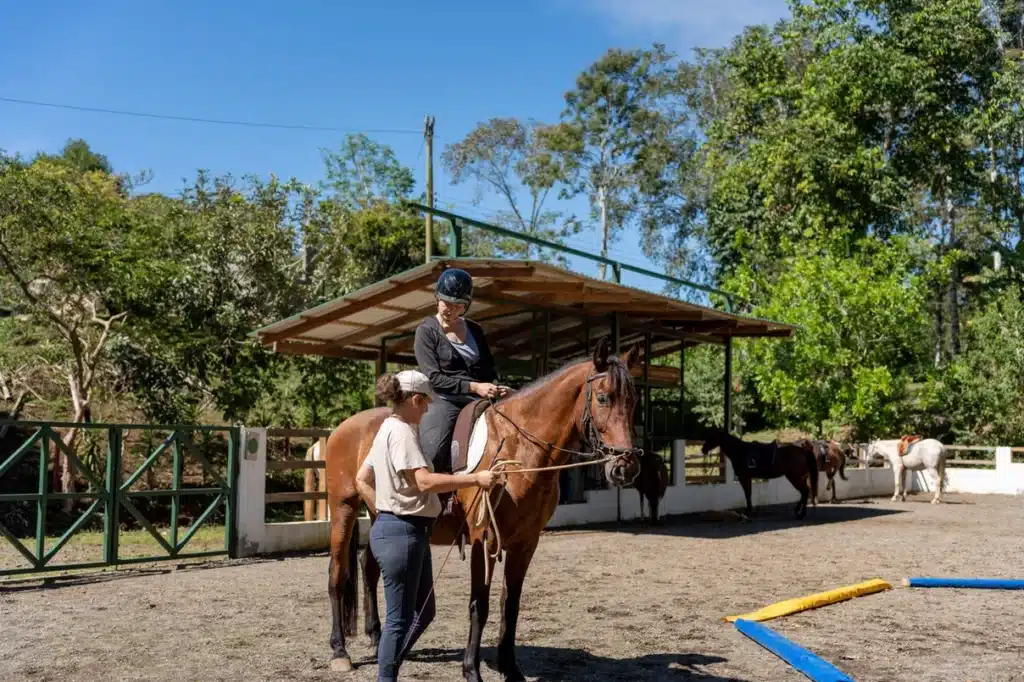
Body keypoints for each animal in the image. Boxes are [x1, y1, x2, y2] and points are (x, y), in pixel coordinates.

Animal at [321, 335, 638, 679]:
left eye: (633, 400)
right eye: (604, 398)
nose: (626, 467)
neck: (520, 449)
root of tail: (344, 427)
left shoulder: (526, 542)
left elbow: (509, 604)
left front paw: (510, 669)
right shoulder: (482, 538)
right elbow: (479, 604)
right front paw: (471, 670)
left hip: (379, 512)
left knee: (369, 566)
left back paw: (377, 637)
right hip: (344, 509)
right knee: (337, 576)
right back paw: (340, 651)